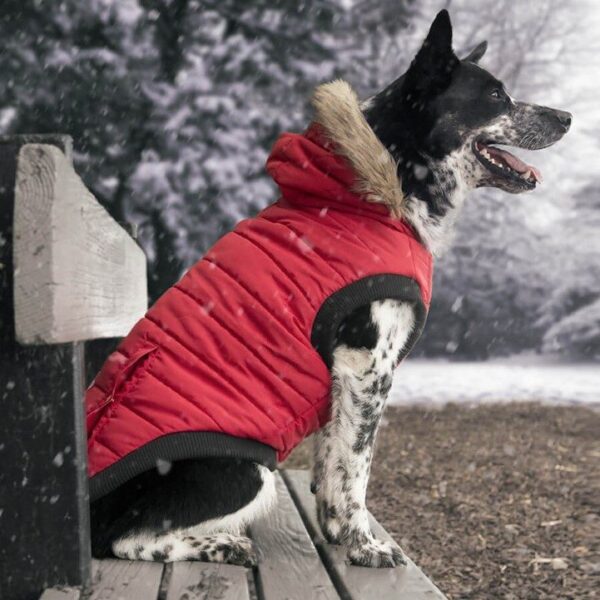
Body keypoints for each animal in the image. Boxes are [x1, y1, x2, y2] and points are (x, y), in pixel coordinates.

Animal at [90, 11, 572, 568]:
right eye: (496, 95)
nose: (567, 118)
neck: (376, 190)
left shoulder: (340, 380)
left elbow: (333, 465)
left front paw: (337, 533)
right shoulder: (368, 368)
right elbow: (356, 470)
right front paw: (365, 545)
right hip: (247, 470)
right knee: (127, 539)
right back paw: (222, 544)